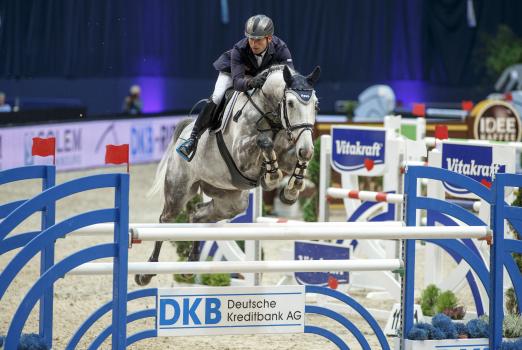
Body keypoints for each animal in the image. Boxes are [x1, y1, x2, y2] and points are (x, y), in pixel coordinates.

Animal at [134, 64, 318, 286]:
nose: (306, 148)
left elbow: (293, 159)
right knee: (165, 221)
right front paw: (272, 176)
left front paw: (292, 189)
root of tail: (184, 132)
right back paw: (146, 273)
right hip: (178, 191)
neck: (269, 112)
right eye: (290, 103)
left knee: (197, 215)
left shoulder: (287, 154)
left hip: (230, 201)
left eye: (316, 105)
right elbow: (264, 141)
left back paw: (191, 265)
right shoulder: (242, 155)